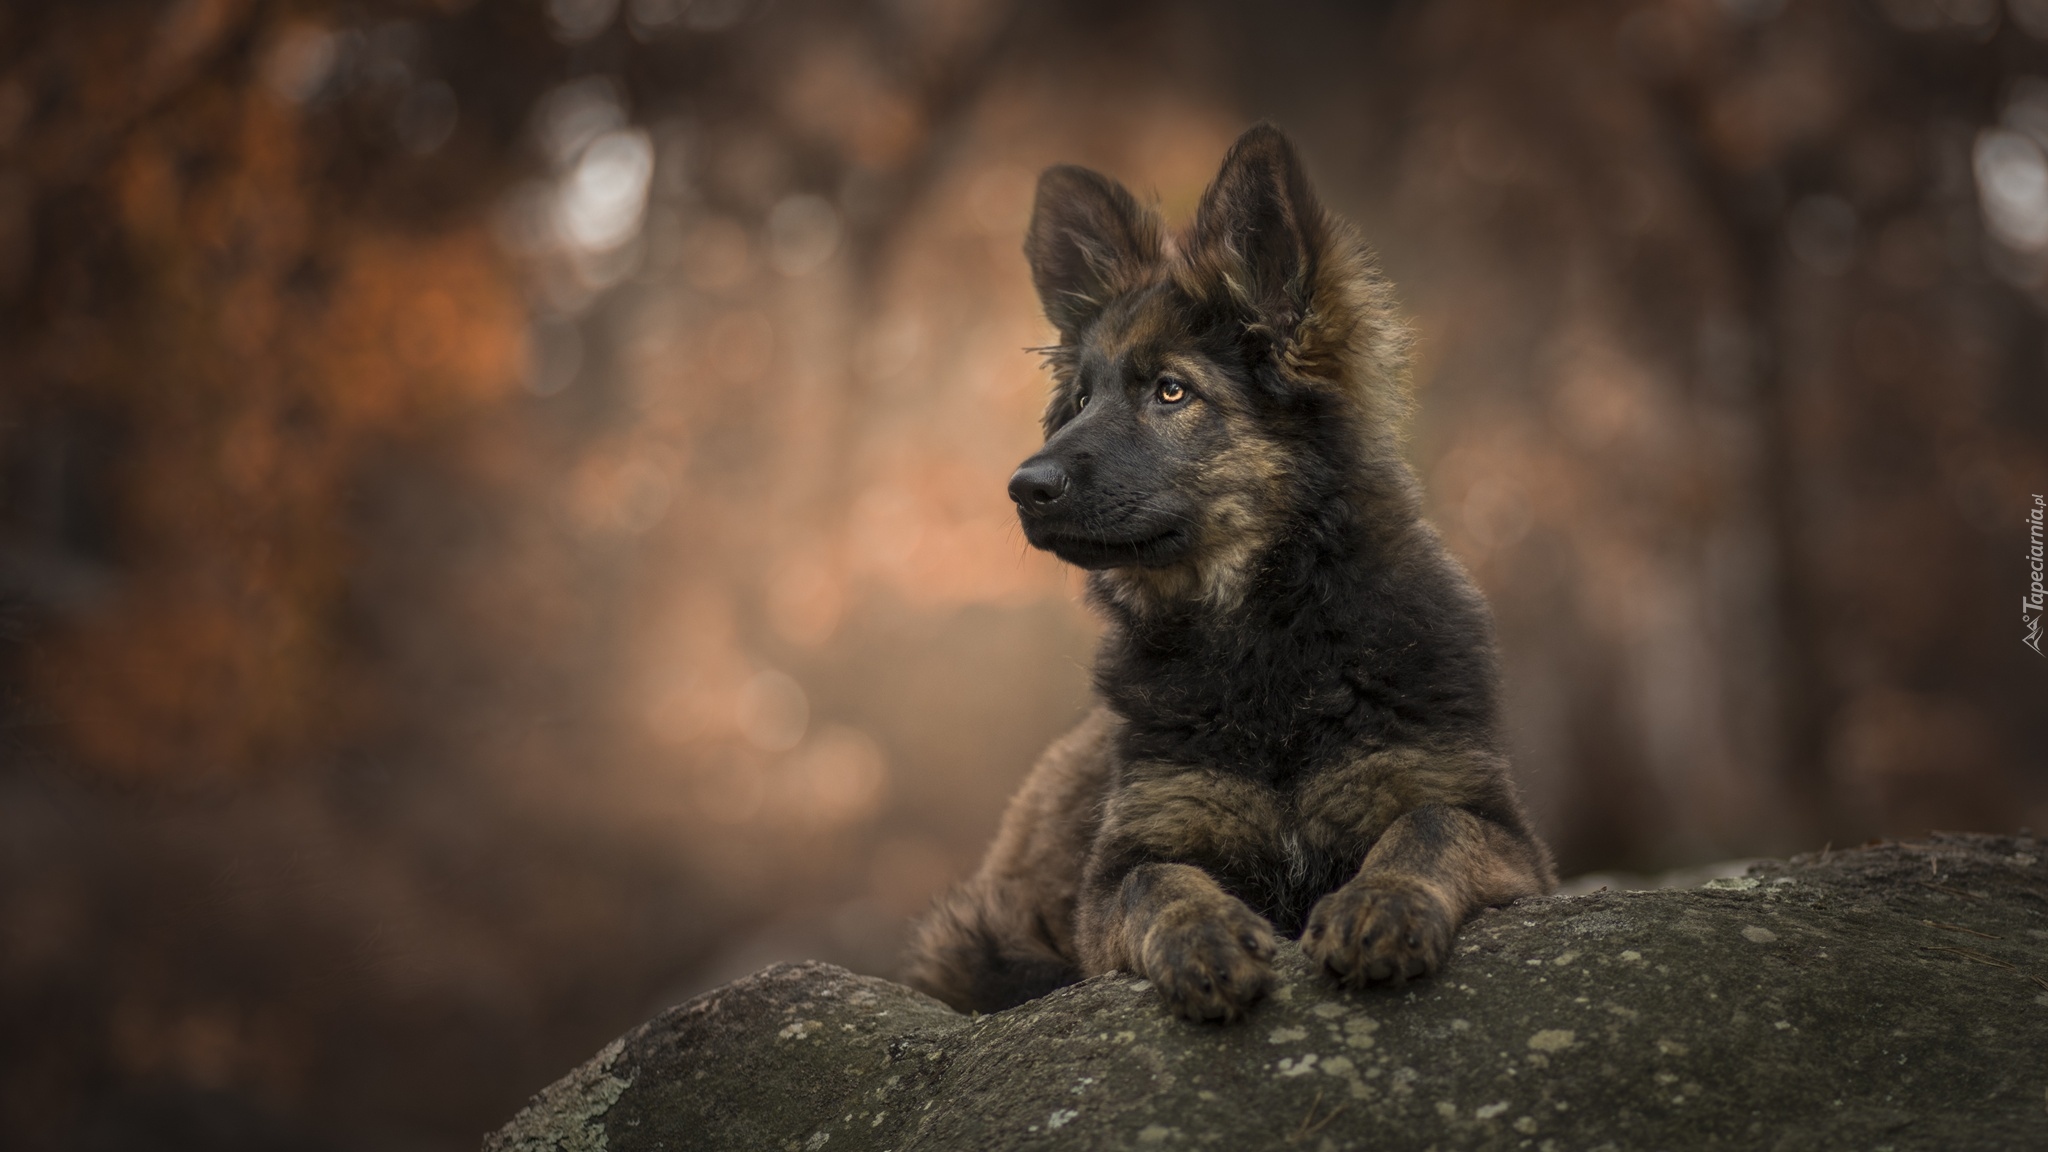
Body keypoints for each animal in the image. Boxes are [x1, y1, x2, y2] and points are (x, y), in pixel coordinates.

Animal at [901, 125, 1548, 1016]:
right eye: (1079, 401)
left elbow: (1430, 826)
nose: (1025, 488)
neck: (1262, 639)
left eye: (1172, 392)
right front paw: (1202, 938)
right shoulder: (1120, 871)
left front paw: (1380, 905)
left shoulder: (1498, 831)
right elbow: (1159, 882)